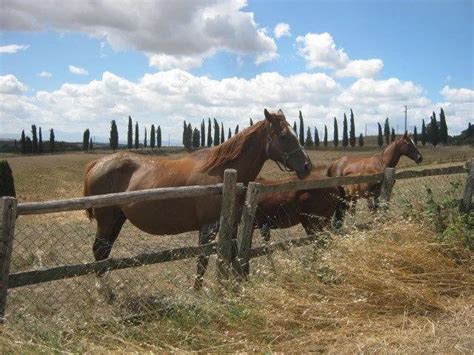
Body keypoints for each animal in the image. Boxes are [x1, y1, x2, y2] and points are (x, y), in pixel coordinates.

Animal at [83, 108, 312, 270]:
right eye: (284, 136)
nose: (307, 166)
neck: (221, 173)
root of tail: (97, 163)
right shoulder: (207, 228)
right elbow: (202, 260)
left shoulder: (231, 227)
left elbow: (231, 256)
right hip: (106, 220)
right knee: (99, 252)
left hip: (116, 220)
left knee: (103, 254)